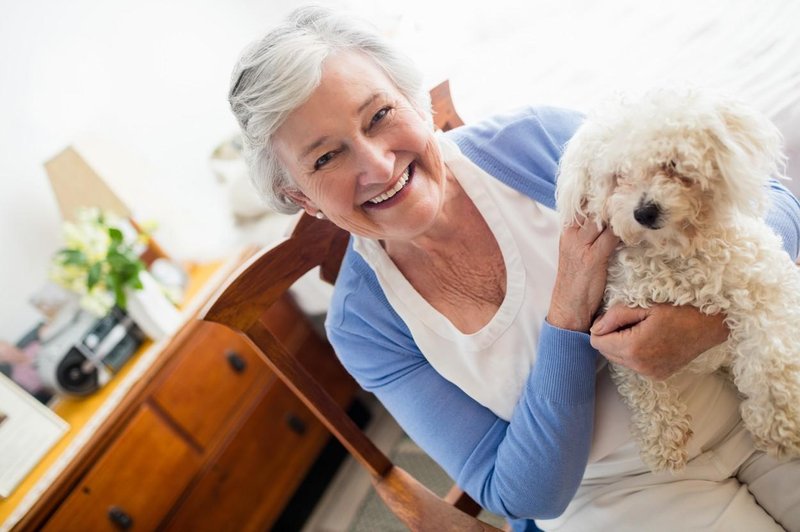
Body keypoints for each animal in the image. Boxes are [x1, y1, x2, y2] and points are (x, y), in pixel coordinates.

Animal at [556, 88, 800, 474]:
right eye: (618, 176)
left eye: (671, 164)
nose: (644, 212)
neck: (674, 251)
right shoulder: (620, 329)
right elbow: (643, 391)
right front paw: (662, 438)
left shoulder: (765, 287)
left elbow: (770, 357)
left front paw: (778, 422)